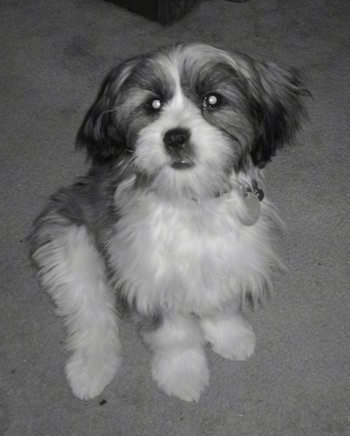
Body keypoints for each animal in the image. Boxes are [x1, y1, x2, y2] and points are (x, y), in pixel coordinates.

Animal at [30, 42, 308, 400]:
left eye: (212, 100)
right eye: (153, 104)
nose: (175, 137)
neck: (190, 200)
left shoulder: (231, 258)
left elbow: (221, 305)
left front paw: (231, 337)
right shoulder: (151, 277)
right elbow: (175, 334)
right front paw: (183, 374)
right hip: (72, 245)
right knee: (91, 313)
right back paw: (91, 371)